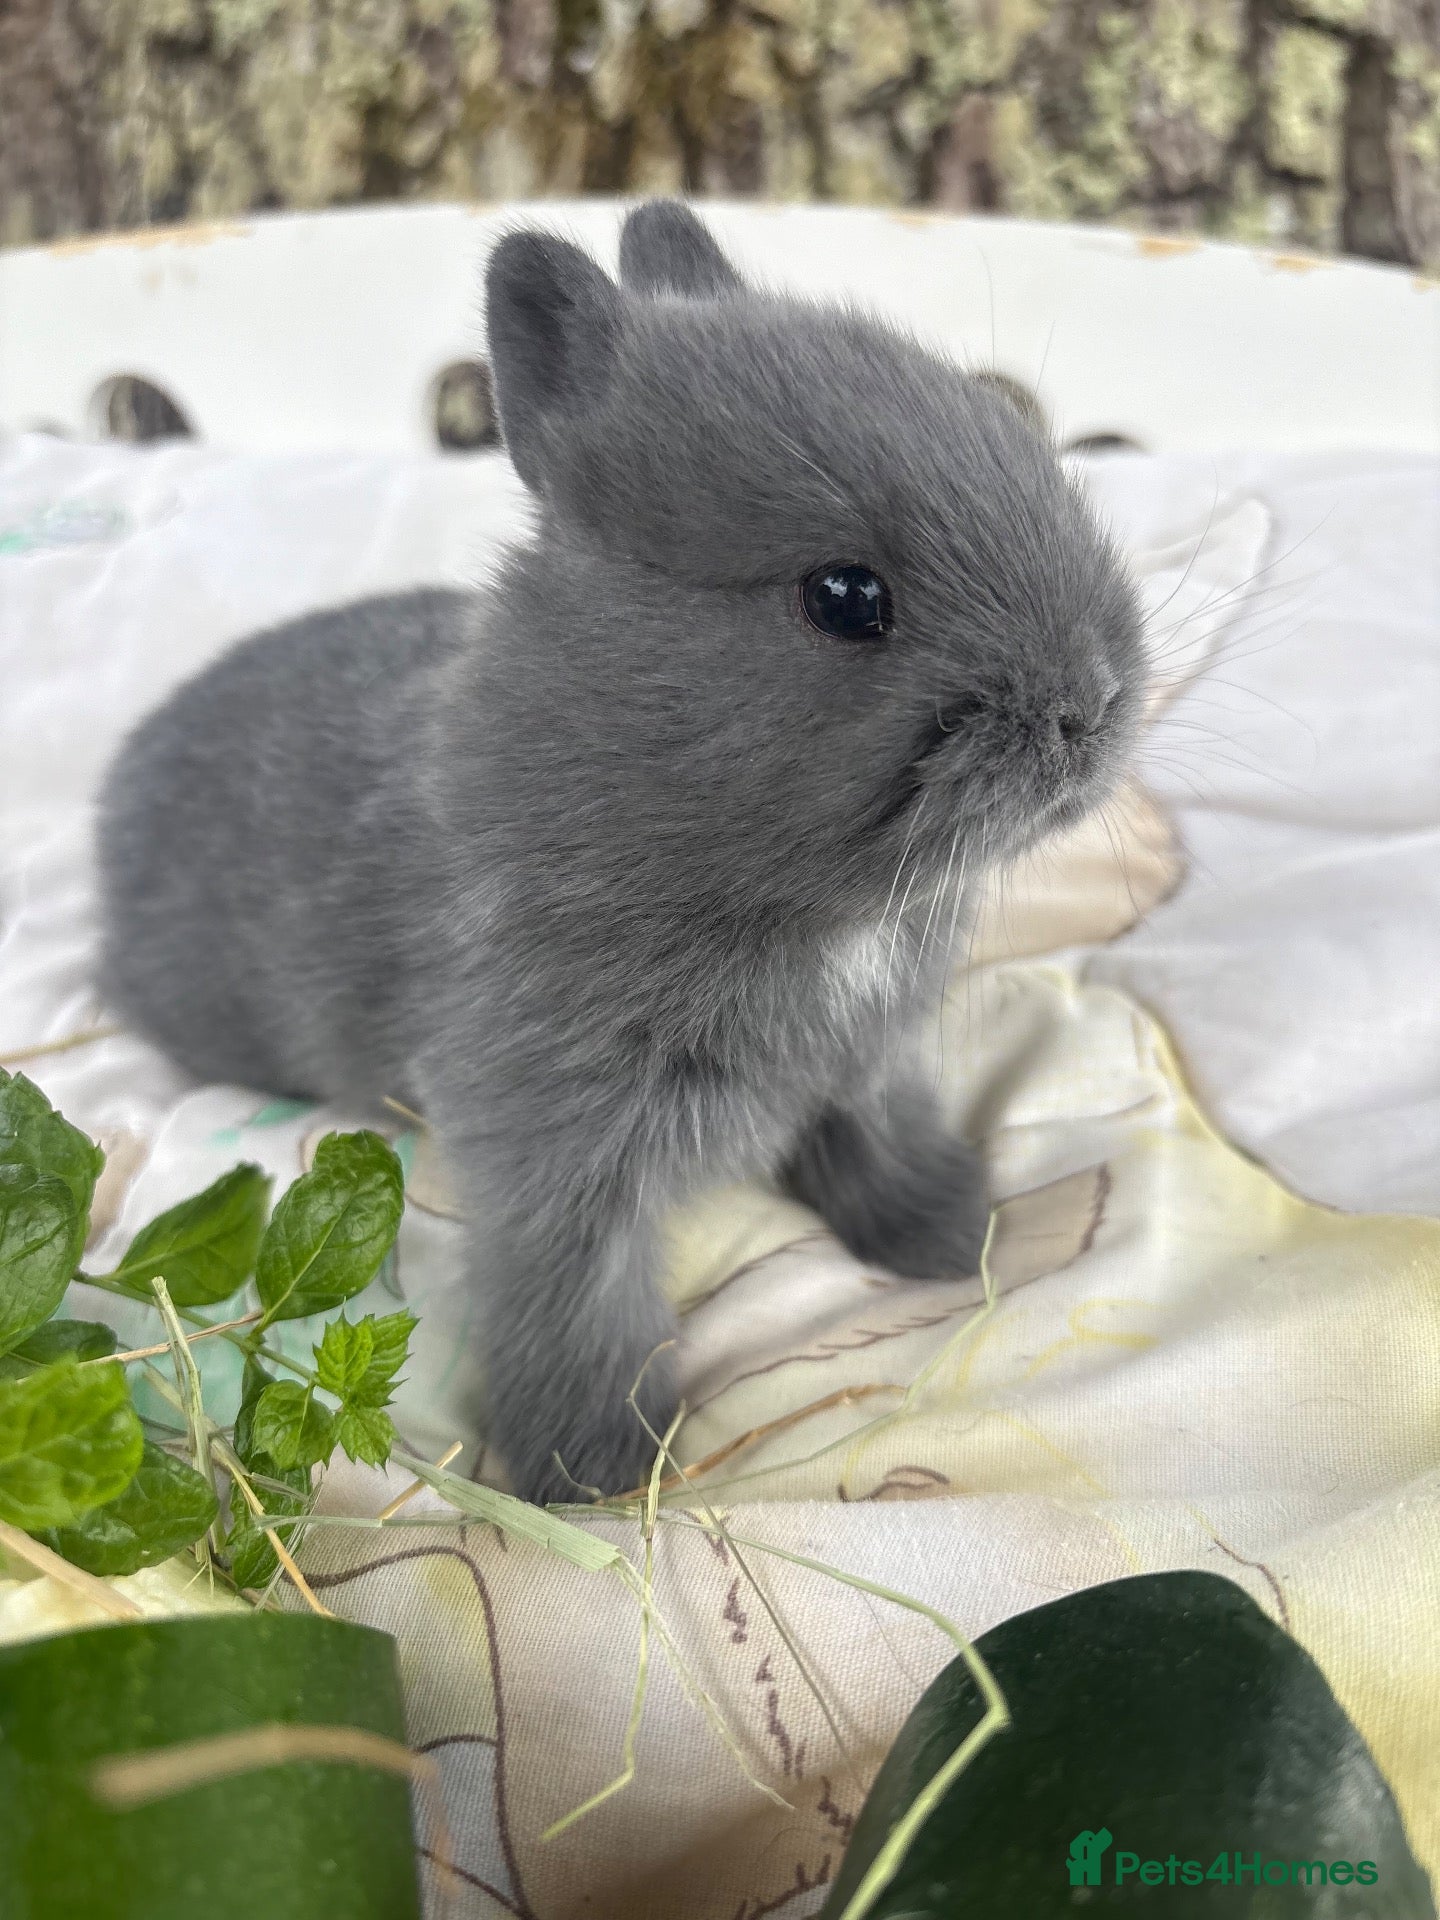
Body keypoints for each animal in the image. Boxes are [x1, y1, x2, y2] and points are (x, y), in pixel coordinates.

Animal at [97, 201, 1146, 1505]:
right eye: (846, 596)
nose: (1089, 707)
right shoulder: (554, 1159)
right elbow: (578, 1308)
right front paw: (595, 1474)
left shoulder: (870, 1063)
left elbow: (885, 1139)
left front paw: (949, 1236)